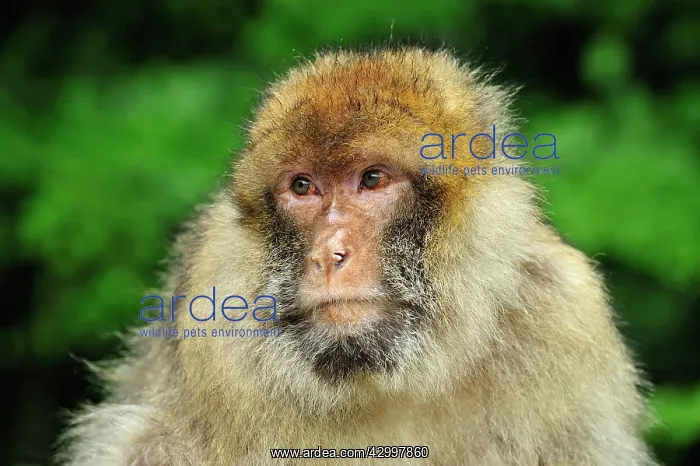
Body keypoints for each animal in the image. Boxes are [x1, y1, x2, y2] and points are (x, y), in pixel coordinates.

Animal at [56, 46, 658, 466]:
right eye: (302, 187)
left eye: (372, 179)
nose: (330, 253)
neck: (397, 374)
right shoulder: (210, 314)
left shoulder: (565, 315)